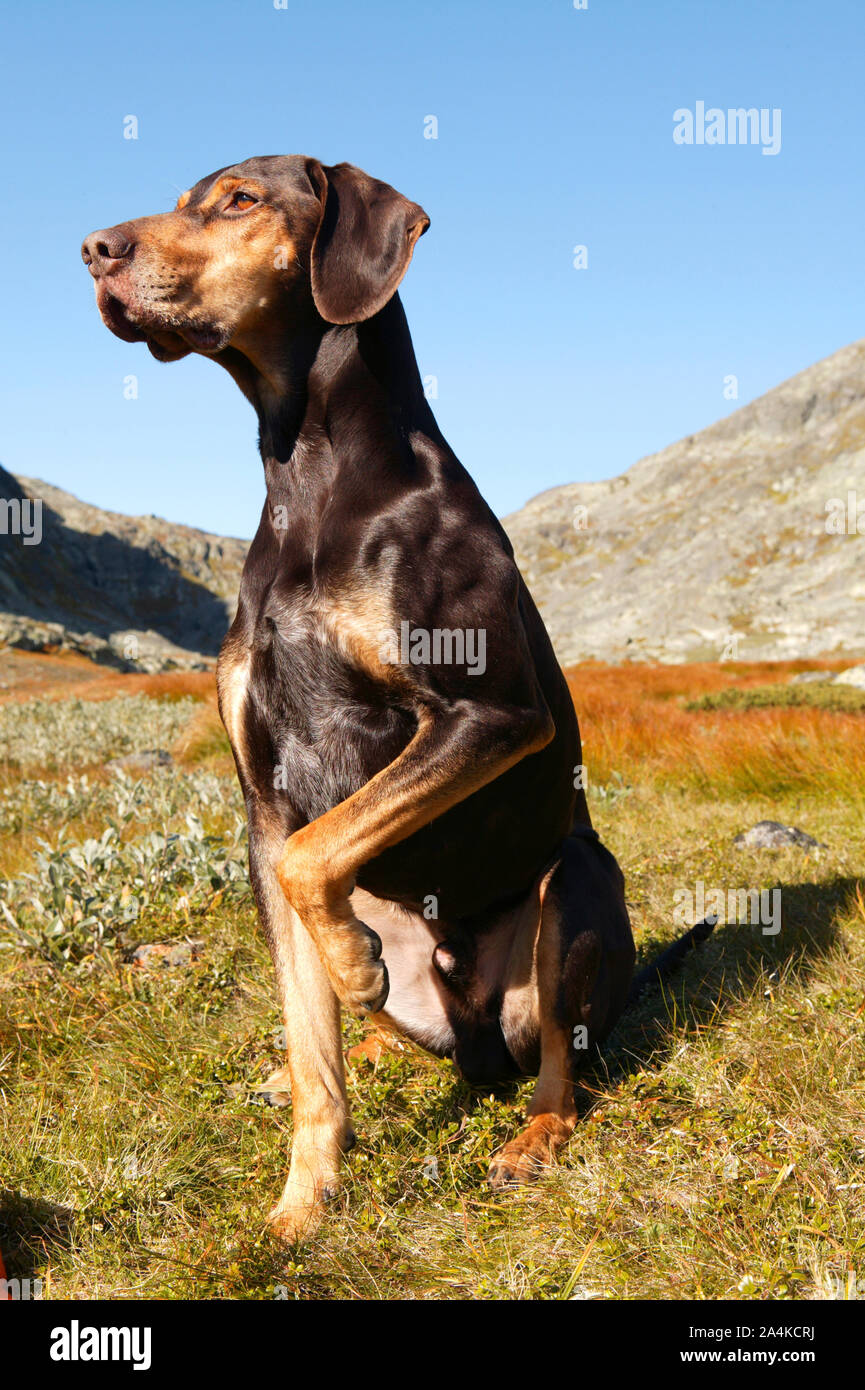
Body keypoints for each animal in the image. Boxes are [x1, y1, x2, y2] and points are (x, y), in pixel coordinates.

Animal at [83, 157, 650, 1245]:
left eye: (239, 200)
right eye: (180, 199)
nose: (92, 250)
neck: (306, 477)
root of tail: (479, 1038)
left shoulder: (489, 717)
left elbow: (318, 856)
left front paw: (349, 963)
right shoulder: (262, 801)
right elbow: (314, 1047)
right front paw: (301, 1206)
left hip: (575, 883)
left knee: (562, 1062)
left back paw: (530, 1131)